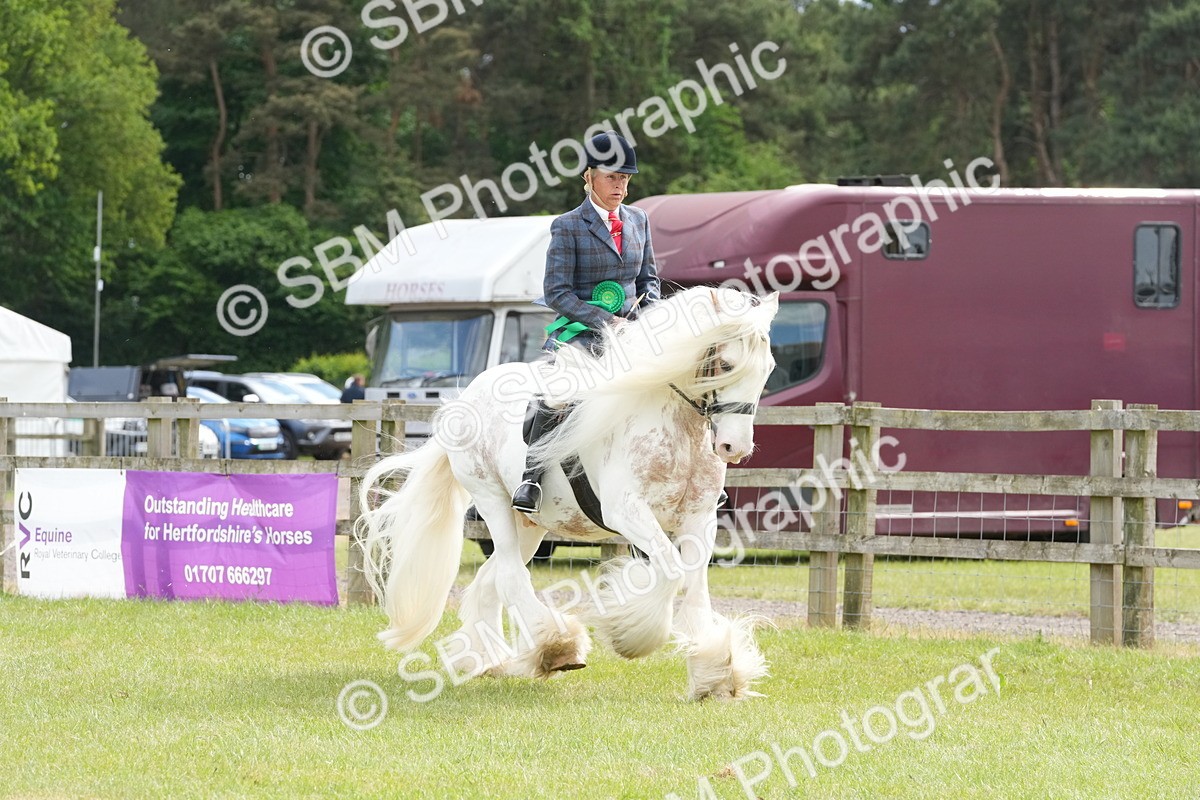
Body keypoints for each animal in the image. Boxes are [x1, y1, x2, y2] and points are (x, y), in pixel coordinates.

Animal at [357, 286, 780, 700]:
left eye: (769, 370)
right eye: (726, 365)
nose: (734, 448)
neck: (675, 424)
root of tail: (464, 398)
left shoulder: (699, 518)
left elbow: (695, 588)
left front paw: (715, 674)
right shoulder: (626, 511)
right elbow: (672, 572)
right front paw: (630, 636)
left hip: (530, 524)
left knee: (492, 578)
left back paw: (489, 659)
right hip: (492, 499)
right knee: (510, 573)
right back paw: (556, 649)